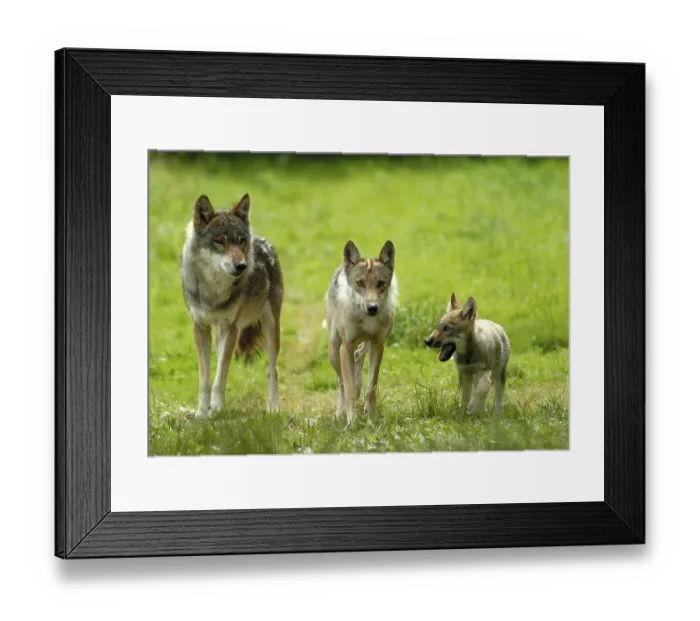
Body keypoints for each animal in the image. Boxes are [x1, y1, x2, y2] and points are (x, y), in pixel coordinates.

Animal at [180, 193, 283, 417]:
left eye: (240, 240)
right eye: (219, 241)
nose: (241, 266)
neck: (214, 292)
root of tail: (263, 240)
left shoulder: (231, 328)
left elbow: (220, 376)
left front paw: (217, 408)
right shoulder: (200, 328)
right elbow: (206, 380)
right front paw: (202, 412)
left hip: (271, 330)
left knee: (272, 370)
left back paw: (273, 407)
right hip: (219, 333)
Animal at [322, 240, 398, 424]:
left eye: (381, 283)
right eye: (360, 283)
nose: (372, 307)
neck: (367, 320)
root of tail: (341, 267)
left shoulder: (378, 345)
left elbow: (371, 387)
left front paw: (371, 418)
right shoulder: (346, 346)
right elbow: (348, 387)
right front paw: (351, 421)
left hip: (370, 343)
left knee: (359, 356)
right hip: (334, 350)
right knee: (341, 382)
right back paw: (340, 413)